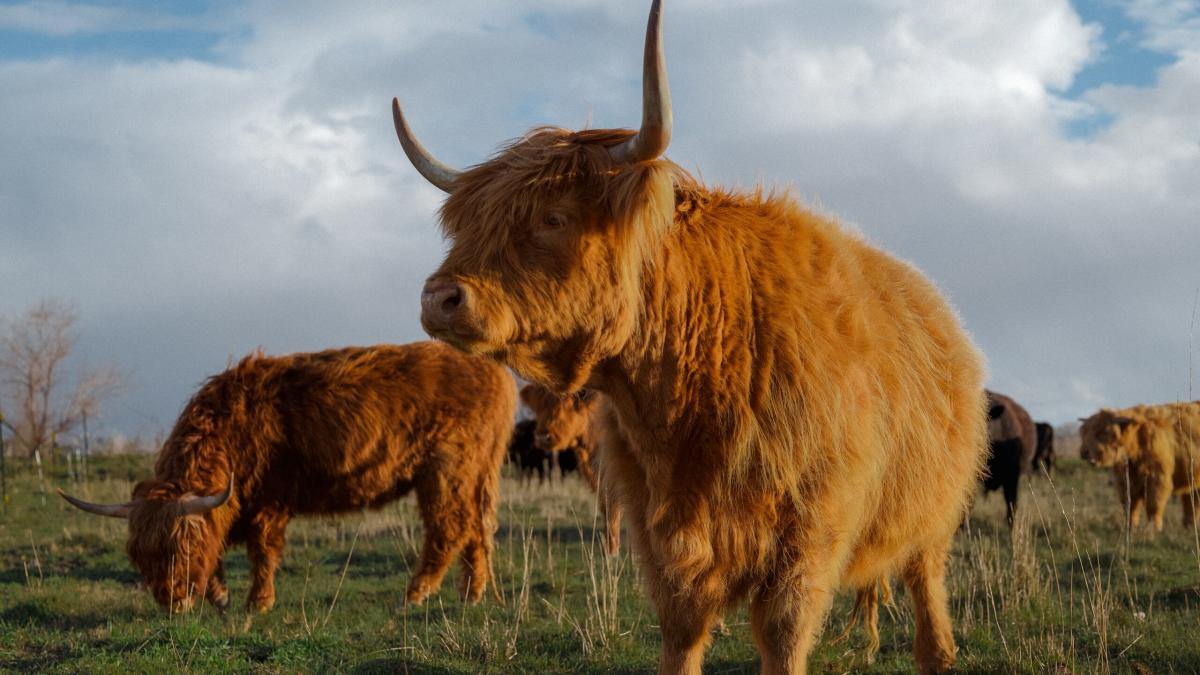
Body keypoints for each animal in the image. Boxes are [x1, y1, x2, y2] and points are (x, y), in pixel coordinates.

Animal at [58, 342, 516, 613]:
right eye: (138, 555)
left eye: (181, 548)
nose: (172, 601)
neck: (231, 429)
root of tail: (493, 370)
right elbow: (220, 544)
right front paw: (220, 595)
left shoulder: (269, 501)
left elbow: (262, 553)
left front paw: (257, 603)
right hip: (477, 471)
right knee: (477, 528)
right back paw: (472, 594)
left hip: (447, 467)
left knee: (449, 526)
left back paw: (415, 594)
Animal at [393, 2, 987, 672]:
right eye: (466, 225)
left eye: (554, 217)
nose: (439, 298)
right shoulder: (660, 534)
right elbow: (681, 632)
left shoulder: (808, 535)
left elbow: (784, 638)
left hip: (932, 516)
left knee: (925, 588)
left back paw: (937, 652)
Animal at [1079, 401, 1200, 531]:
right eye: (1084, 432)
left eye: (1103, 432)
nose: (1084, 452)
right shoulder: (1126, 481)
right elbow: (1130, 504)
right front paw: (1130, 527)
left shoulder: (1157, 478)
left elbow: (1153, 503)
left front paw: (1153, 528)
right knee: (1191, 501)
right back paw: (1188, 526)